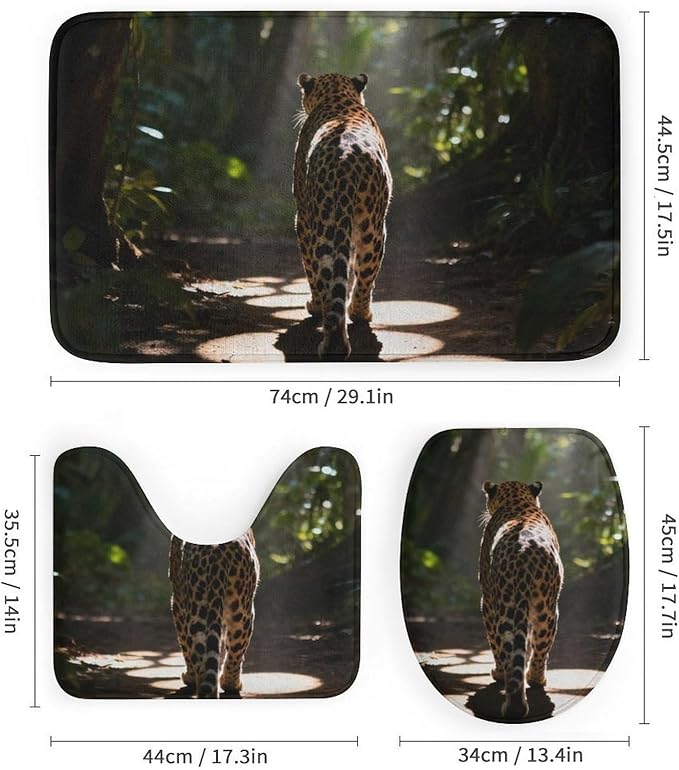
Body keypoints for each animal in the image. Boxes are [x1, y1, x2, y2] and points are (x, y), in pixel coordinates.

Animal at [169, 530, 260, 698]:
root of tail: (216, 552)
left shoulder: (177, 601)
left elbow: (183, 644)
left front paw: (189, 677)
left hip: (200, 606)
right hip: (241, 610)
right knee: (234, 649)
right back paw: (228, 685)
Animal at [293, 72, 393, 359]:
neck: (338, 97)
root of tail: (345, 157)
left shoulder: (302, 217)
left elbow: (310, 269)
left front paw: (314, 306)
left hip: (328, 223)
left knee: (327, 276)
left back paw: (340, 332)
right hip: (372, 226)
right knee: (363, 271)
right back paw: (351, 323)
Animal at [479, 480, 564, 720]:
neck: (517, 501)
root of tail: (523, 550)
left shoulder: (486, 601)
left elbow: (495, 644)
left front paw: (498, 674)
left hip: (507, 604)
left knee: (508, 649)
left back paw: (519, 696)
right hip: (545, 607)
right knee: (538, 644)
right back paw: (529, 688)